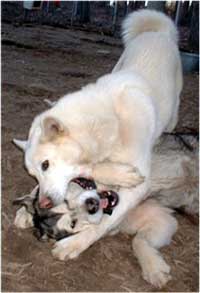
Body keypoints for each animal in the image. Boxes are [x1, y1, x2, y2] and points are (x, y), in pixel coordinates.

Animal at [14, 8, 183, 286]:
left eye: (46, 164)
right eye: (34, 173)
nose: (45, 203)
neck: (109, 121)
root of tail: (157, 31)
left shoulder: (140, 187)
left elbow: (102, 223)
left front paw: (74, 244)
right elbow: (91, 170)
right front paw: (27, 209)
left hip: (172, 110)